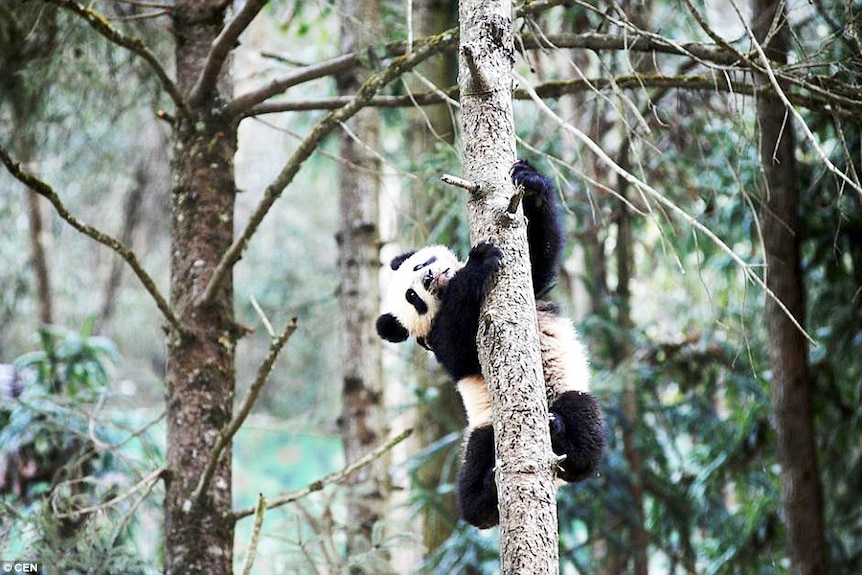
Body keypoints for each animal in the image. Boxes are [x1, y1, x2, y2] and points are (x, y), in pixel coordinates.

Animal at [374, 160, 604, 528]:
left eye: (421, 264)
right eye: (412, 297)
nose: (428, 278)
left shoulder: (532, 291)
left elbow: (539, 257)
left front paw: (530, 182)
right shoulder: (441, 342)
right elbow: (458, 347)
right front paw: (478, 263)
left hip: (568, 389)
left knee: (585, 431)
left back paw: (558, 432)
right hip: (483, 430)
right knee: (471, 491)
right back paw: (487, 489)